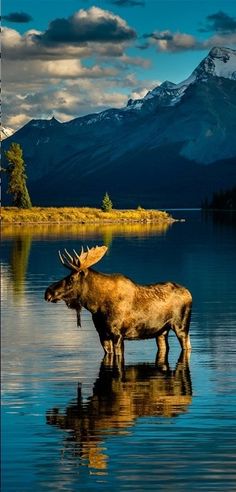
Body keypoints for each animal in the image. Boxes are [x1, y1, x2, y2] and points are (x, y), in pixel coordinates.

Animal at [44, 246, 192, 358]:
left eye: (71, 278)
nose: (48, 292)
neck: (96, 306)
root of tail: (189, 293)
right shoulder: (102, 334)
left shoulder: (118, 334)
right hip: (161, 331)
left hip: (181, 326)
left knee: (187, 345)